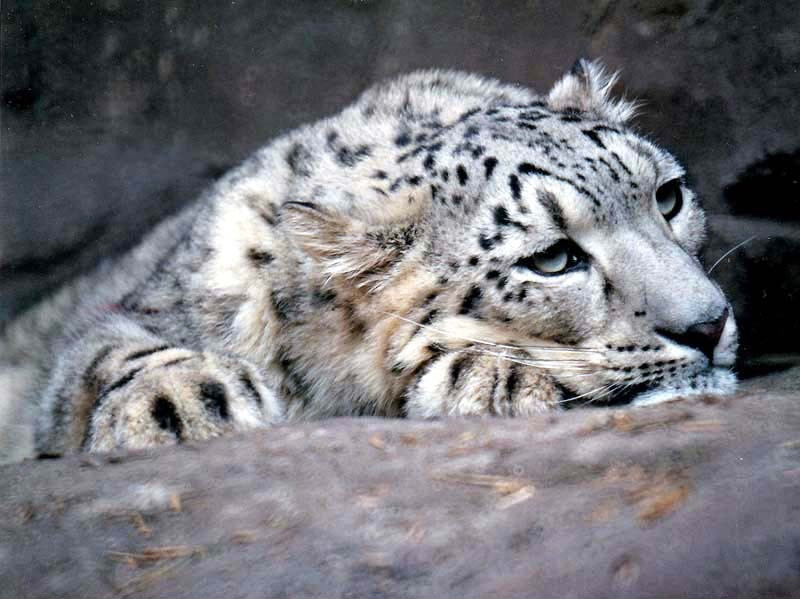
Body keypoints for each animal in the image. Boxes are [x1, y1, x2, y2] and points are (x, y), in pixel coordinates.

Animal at [0, 59, 738, 462]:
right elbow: (99, 354)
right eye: (554, 258)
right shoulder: (143, 309)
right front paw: (181, 402)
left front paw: (490, 373)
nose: (708, 324)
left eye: (668, 196)